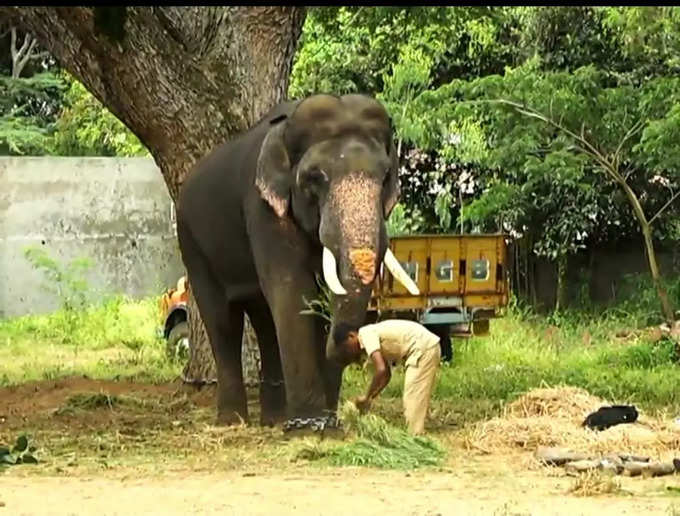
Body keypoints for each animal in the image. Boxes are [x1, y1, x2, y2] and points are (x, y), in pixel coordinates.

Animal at [174, 94, 420, 434]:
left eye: (385, 178)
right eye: (315, 178)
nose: (354, 341)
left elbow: (318, 298)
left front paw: (327, 424)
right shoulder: (263, 209)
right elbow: (292, 291)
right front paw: (311, 427)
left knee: (264, 319)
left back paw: (274, 420)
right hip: (192, 242)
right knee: (223, 319)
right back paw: (233, 422)